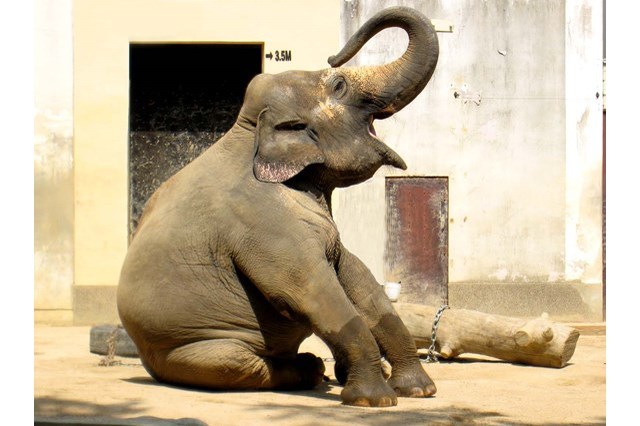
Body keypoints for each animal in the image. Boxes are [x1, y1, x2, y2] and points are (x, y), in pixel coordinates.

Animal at [117, 5, 440, 408]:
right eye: (338, 86)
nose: (334, 56)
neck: (247, 131)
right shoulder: (265, 225)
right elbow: (311, 292)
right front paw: (374, 400)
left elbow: (358, 278)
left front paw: (419, 391)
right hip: (190, 349)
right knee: (235, 363)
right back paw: (311, 371)